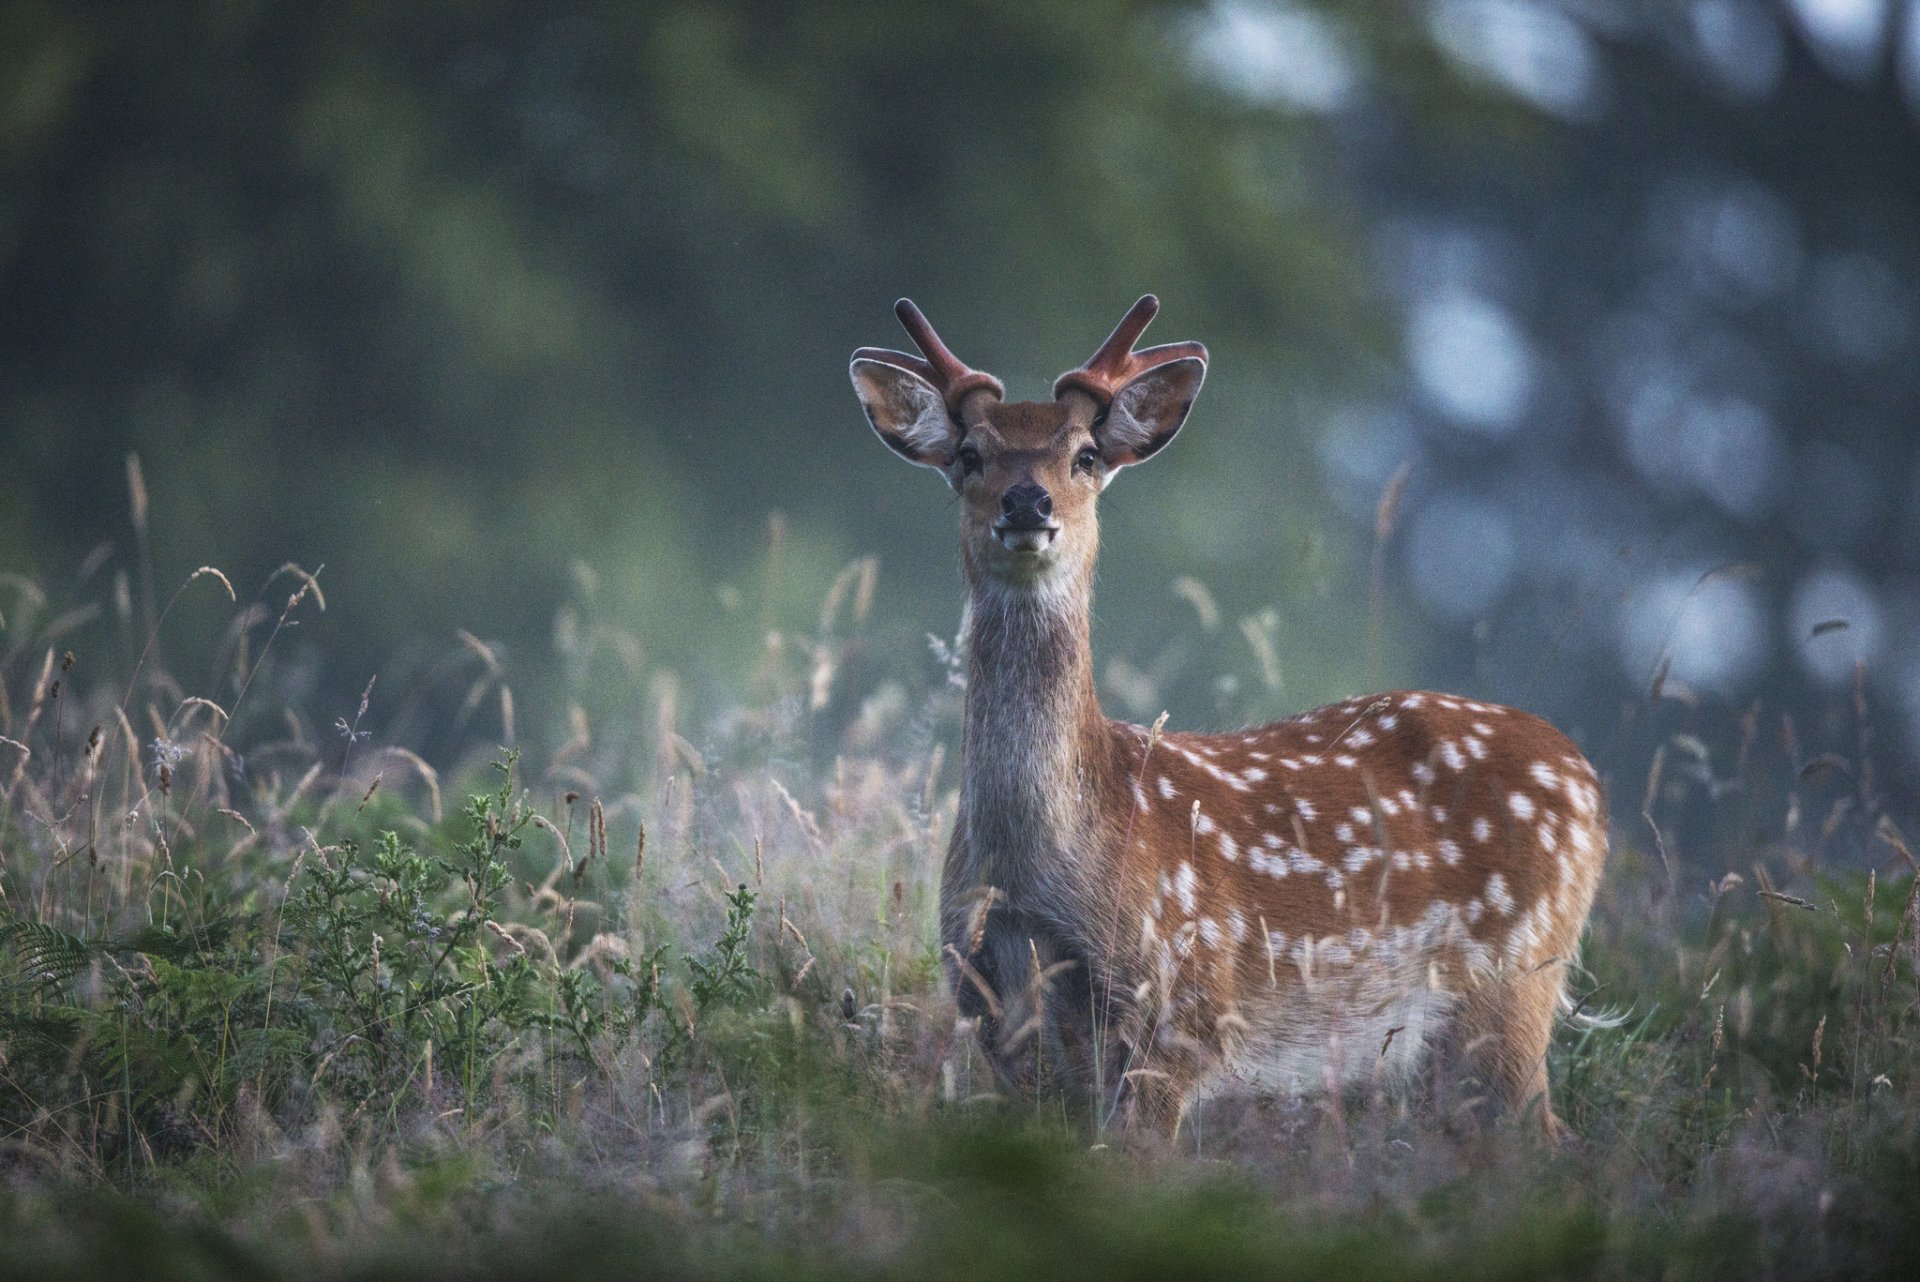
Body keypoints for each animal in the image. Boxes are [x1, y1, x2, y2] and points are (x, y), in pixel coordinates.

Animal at [848, 296, 1610, 1143]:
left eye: (1084, 455)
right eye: (971, 454)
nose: (1027, 502)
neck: (1034, 872)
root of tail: (1583, 775)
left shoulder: (1180, 1009)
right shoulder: (994, 1015)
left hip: (1517, 974)